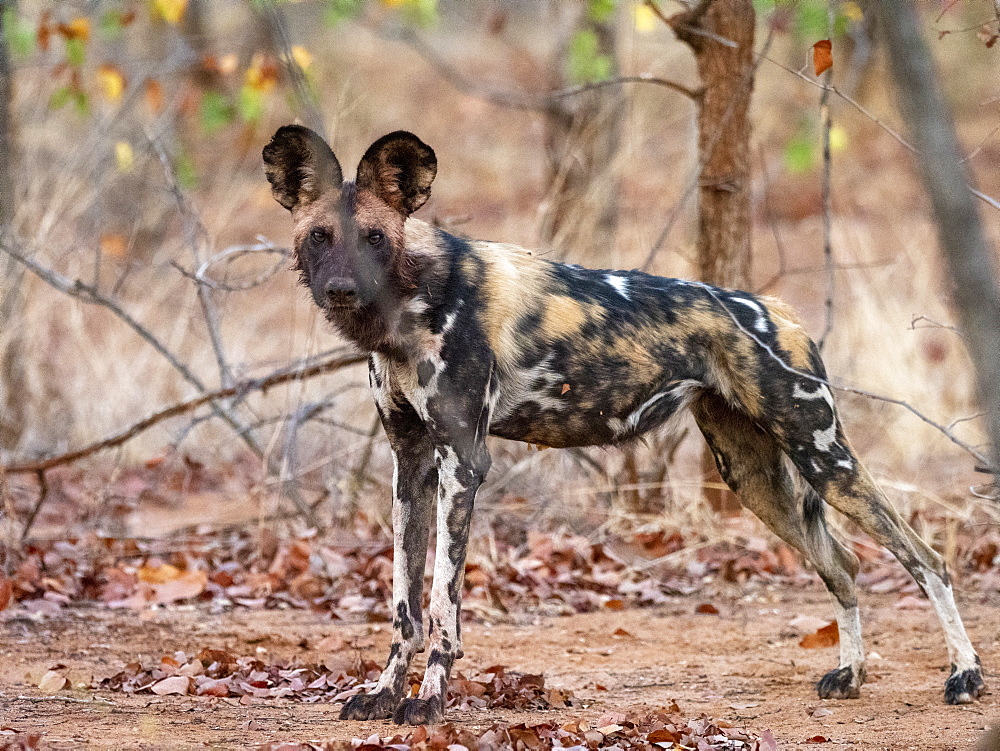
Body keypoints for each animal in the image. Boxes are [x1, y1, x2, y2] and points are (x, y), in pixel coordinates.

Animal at [262, 126, 988, 724]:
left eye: (376, 238)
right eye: (319, 237)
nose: (342, 291)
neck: (412, 301)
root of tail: (778, 309)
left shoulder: (462, 460)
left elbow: (441, 605)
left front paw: (430, 702)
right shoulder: (409, 465)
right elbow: (404, 603)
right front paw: (385, 693)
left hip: (822, 457)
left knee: (925, 559)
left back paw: (964, 675)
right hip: (753, 476)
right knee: (843, 562)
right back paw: (852, 673)